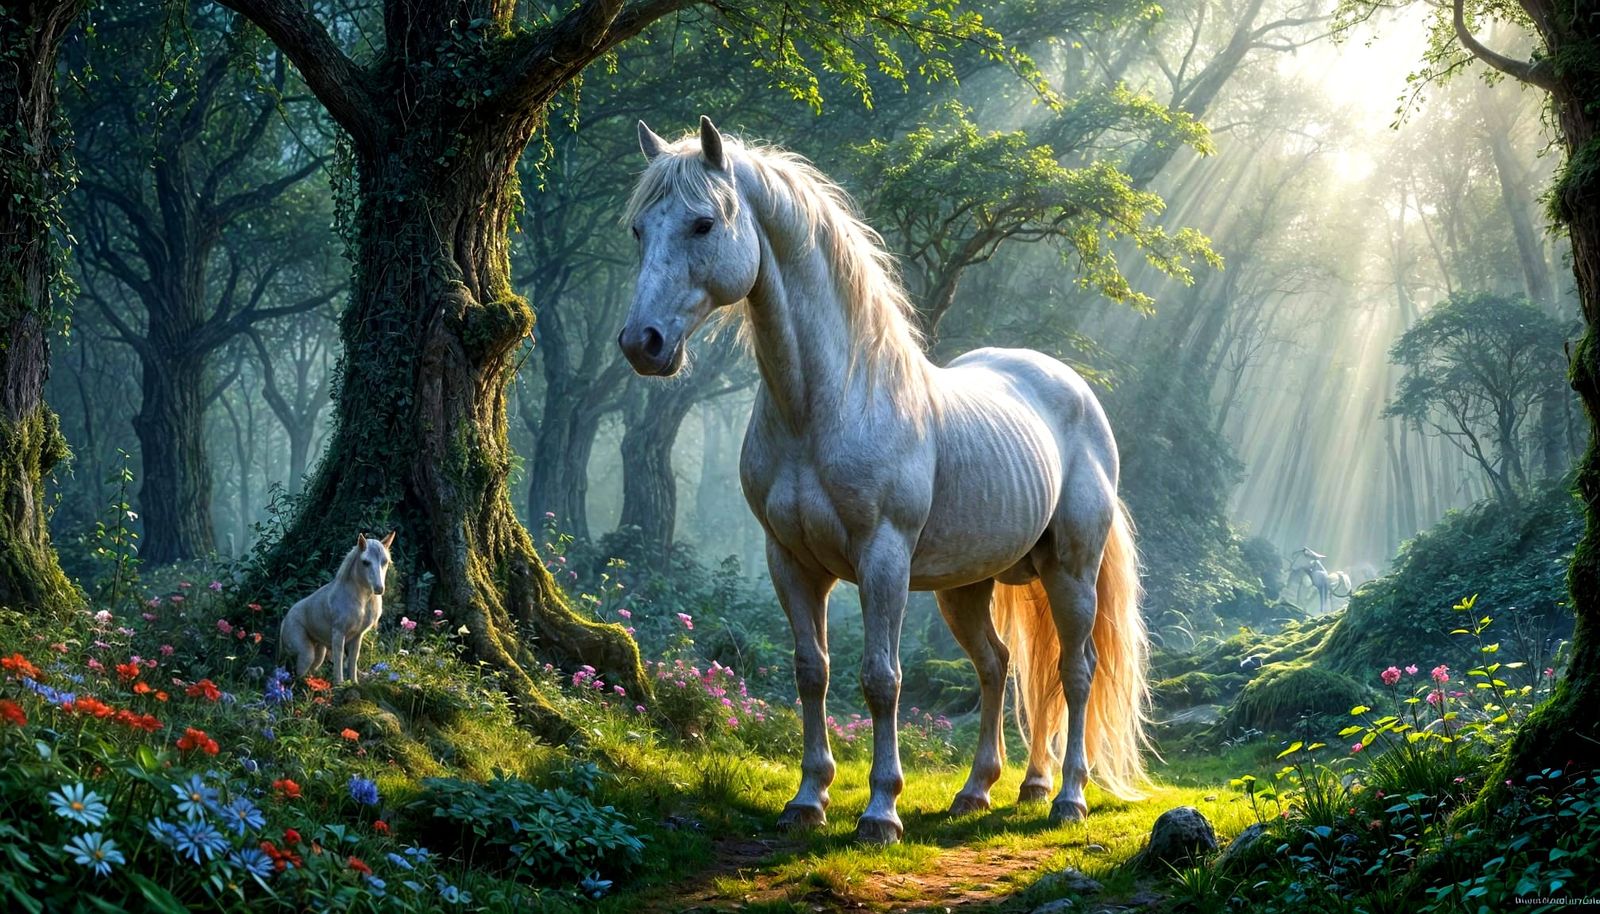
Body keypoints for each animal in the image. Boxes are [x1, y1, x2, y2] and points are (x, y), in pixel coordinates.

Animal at [279, 531, 394, 684]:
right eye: (365, 562)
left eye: (385, 561)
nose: (379, 589)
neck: (360, 599)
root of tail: (285, 619)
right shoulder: (339, 634)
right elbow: (339, 661)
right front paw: (339, 684)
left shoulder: (357, 637)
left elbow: (352, 661)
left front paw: (354, 683)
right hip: (306, 652)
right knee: (298, 673)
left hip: (319, 652)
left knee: (310, 670)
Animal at [617, 117, 1150, 844]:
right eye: (639, 229)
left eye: (703, 224)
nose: (641, 344)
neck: (829, 404)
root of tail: (1073, 390)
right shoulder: (790, 561)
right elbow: (811, 672)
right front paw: (808, 798)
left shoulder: (883, 559)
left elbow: (880, 680)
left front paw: (880, 809)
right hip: (969, 585)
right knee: (1001, 666)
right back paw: (987, 789)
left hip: (1070, 569)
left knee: (1074, 671)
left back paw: (1068, 797)